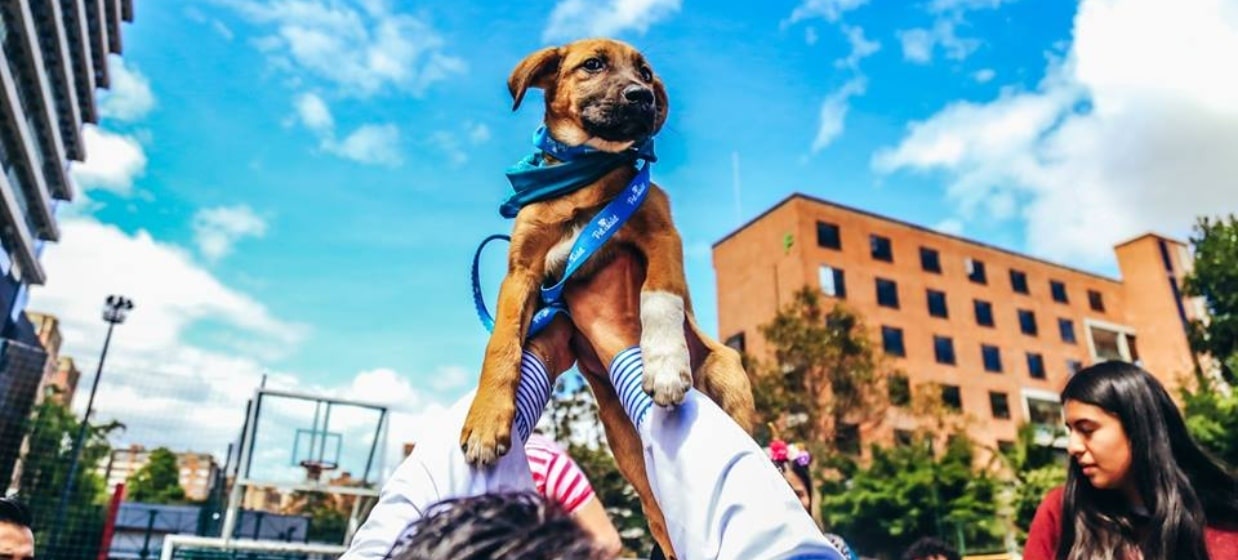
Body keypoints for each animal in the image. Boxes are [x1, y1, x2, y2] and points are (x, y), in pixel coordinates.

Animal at [463, 37, 757, 557]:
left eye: (646, 72)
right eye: (593, 65)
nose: (643, 96)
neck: (584, 175)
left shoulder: (662, 236)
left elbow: (659, 298)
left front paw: (664, 364)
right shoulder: (521, 275)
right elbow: (501, 345)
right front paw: (486, 417)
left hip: (729, 380)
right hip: (631, 460)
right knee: (662, 523)